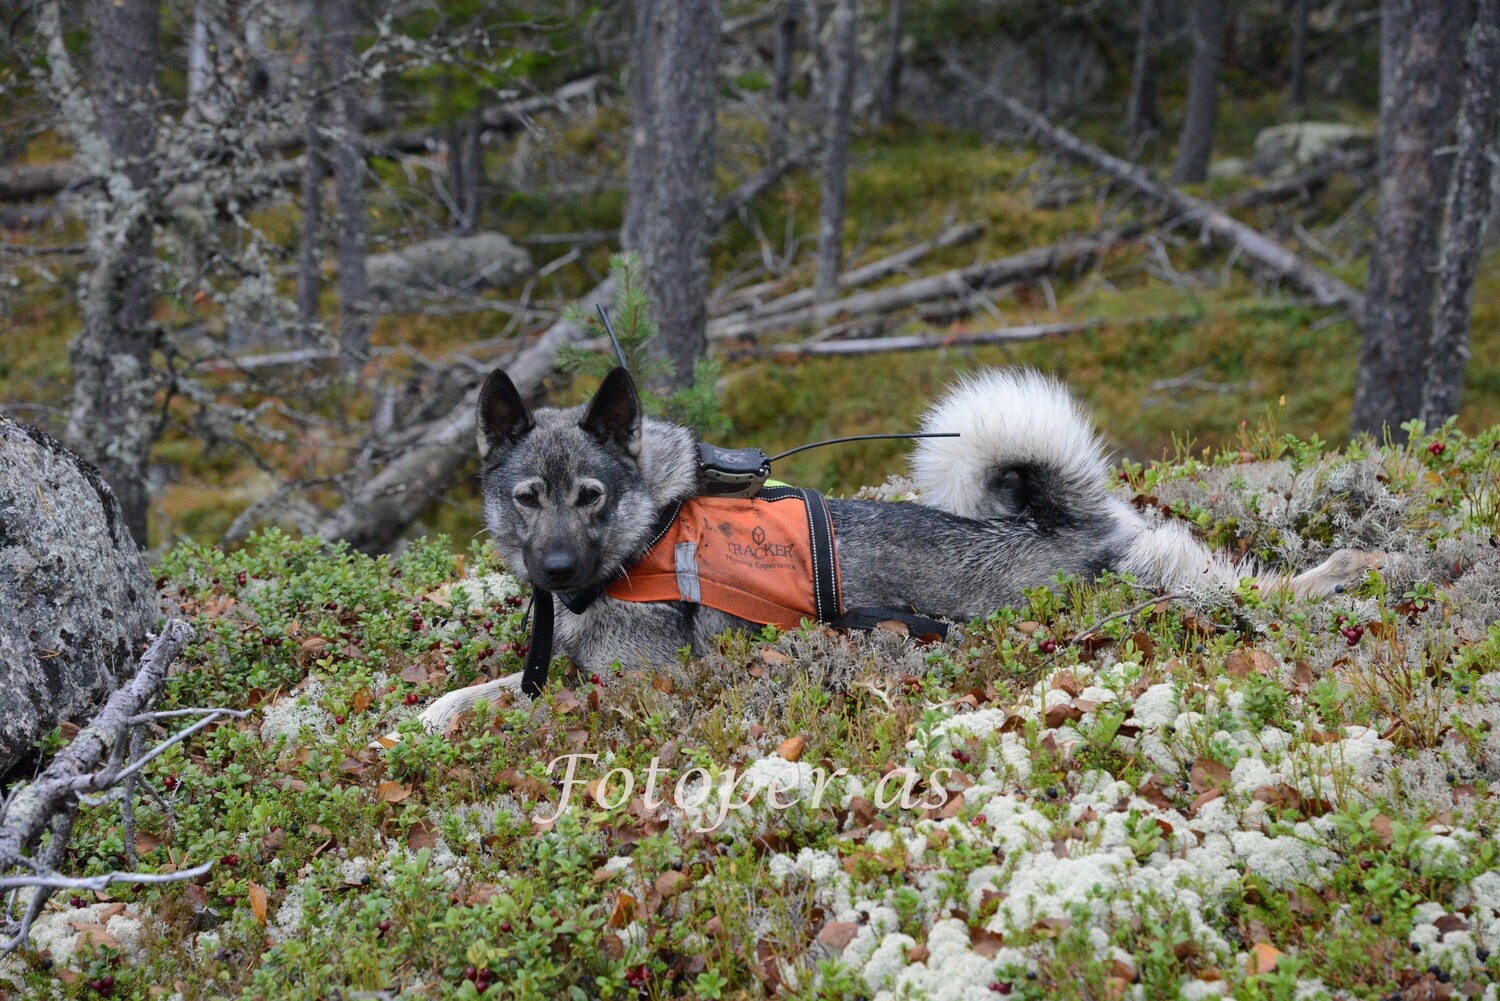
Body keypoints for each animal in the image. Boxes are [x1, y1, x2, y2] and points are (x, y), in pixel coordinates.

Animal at [411, 364, 1374, 723]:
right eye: (528, 498)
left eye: (591, 497)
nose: (556, 567)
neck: (642, 538)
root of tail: (1060, 524)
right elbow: (491, 687)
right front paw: (431, 711)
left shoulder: (644, 683)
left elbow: (534, 697)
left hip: (1147, 591)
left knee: (1243, 588)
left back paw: (1340, 574)